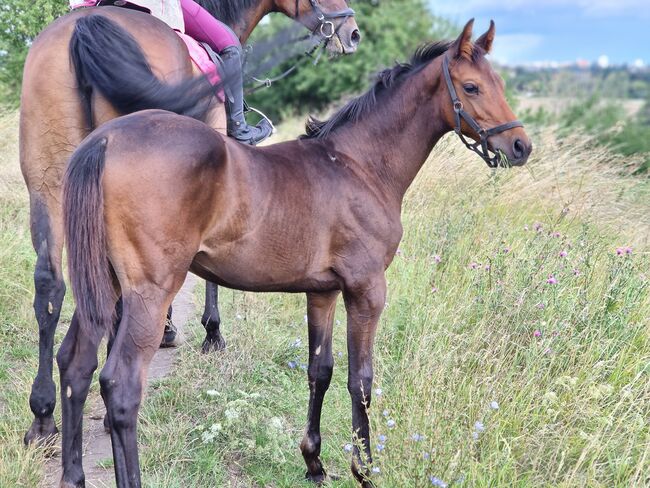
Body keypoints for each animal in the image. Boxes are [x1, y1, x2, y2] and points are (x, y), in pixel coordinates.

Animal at [19, 0, 360, 444]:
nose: (351, 32)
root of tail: (87, 27)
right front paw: (211, 332)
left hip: (50, 183)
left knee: (51, 285)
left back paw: (43, 417)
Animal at [59, 20, 528, 488]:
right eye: (471, 87)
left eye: (500, 83)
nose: (521, 146)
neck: (358, 165)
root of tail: (106, 140)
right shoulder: (366, 290)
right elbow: (361, 380)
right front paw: (365, 470)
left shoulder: (322, 292)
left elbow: (320, 371)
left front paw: (313, 462)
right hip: (149, 293)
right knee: (120, 387)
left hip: (102, 284)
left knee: (75, 364)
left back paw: (72, 475)